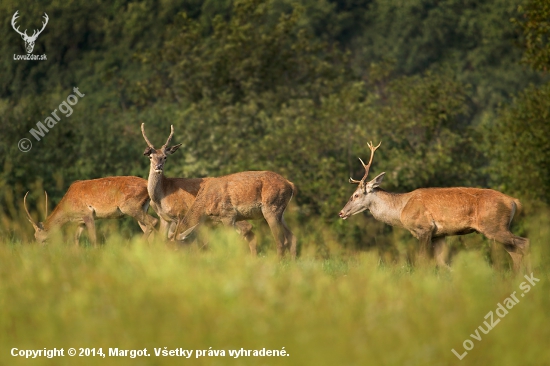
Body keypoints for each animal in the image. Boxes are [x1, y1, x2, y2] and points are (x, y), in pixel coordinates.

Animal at [23, 177, 157, 246]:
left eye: (36, 235)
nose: (38, 247)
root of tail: (147, 183)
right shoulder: (80, 221)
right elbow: (76, 238)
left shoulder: (88, 214)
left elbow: (93, 238)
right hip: (143, 207)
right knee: (149, 227)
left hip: (130, 206)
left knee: (154, 221)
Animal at [140, 123, 256, 252]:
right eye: (150, 157)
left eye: (165, 157)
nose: (158, 167)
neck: (162, 196)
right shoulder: (165, 219)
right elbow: (162, 241)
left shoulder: (180, 214)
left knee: (246, 227)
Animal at [338, 142, 532, 270]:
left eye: (355, 195)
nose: (341, 213)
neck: (401, 208)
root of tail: (514, 201)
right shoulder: (439, 234)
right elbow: (443, 263)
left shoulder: (424, 228)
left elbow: (422, 260)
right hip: (499, 228)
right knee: (515, 251)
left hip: (493, 225)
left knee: (524, 243)